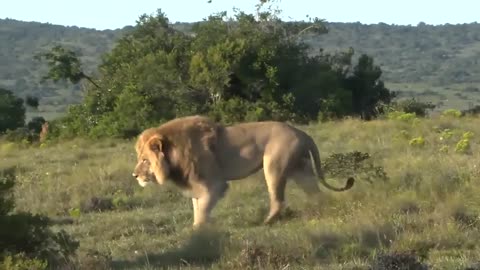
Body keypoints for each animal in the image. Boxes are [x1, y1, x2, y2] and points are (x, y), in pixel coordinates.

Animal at [131, 115, 352, 229]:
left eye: (145, 160)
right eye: (139, 158)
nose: (134, 175)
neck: (175, 153)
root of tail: (302, 132)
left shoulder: (213, 185)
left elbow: (202, 210)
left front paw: (199, 232)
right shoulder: (195, 185)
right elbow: (196, 208)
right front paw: (196, 230)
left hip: (273, 165)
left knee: (278, 200)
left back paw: (266, 222)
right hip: (301, 169)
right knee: (316, 193)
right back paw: (319, 212)